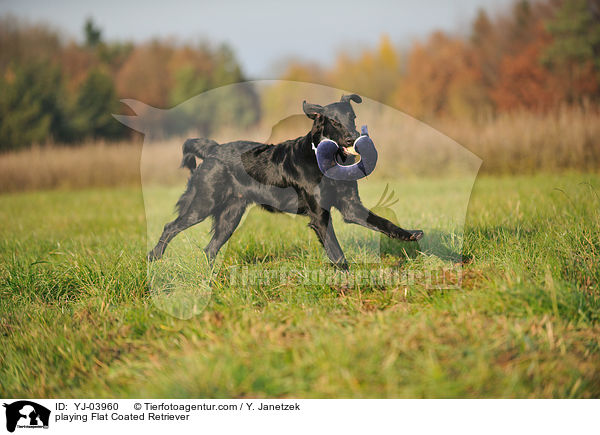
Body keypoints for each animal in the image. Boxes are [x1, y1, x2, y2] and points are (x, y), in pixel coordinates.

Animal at [149, 93, 422, 270]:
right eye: (334, 121)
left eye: (353, 117)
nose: (352, 138)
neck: (325, 159)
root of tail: (214, 149)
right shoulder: (319, 215)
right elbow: (336, 252)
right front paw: (346, 278)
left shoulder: (351, 207)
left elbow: (383, 222)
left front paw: (409, 234)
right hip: (203, 204)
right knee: (170, 227)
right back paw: (154, 260)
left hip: (231, 215)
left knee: (210, 248)